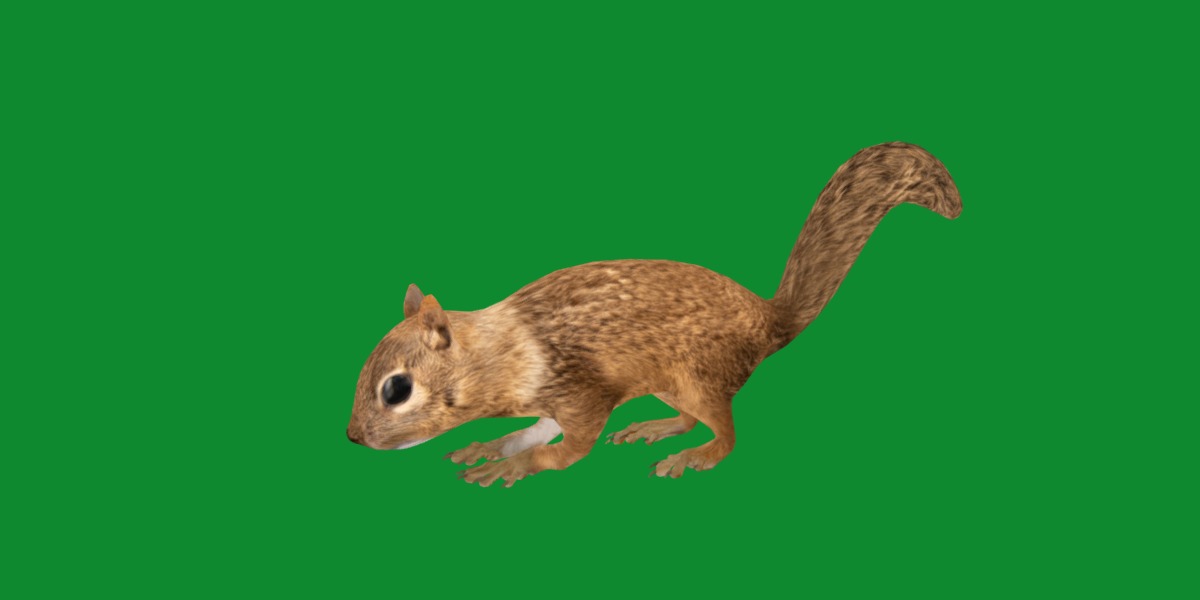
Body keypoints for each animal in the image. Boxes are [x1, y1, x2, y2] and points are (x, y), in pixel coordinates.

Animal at [347, 142, 962, 487]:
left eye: (397, 389)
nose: (353, 438)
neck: (506, 349)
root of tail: (769, 323)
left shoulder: (583, 392)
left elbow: (565, 450)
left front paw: (512, 466)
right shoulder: (550, 400)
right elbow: (532, 432)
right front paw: (493, 446)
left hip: (698, 376)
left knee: (725, 437)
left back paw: (692, 455)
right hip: (672, 384)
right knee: (690, 418)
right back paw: (657, 427)